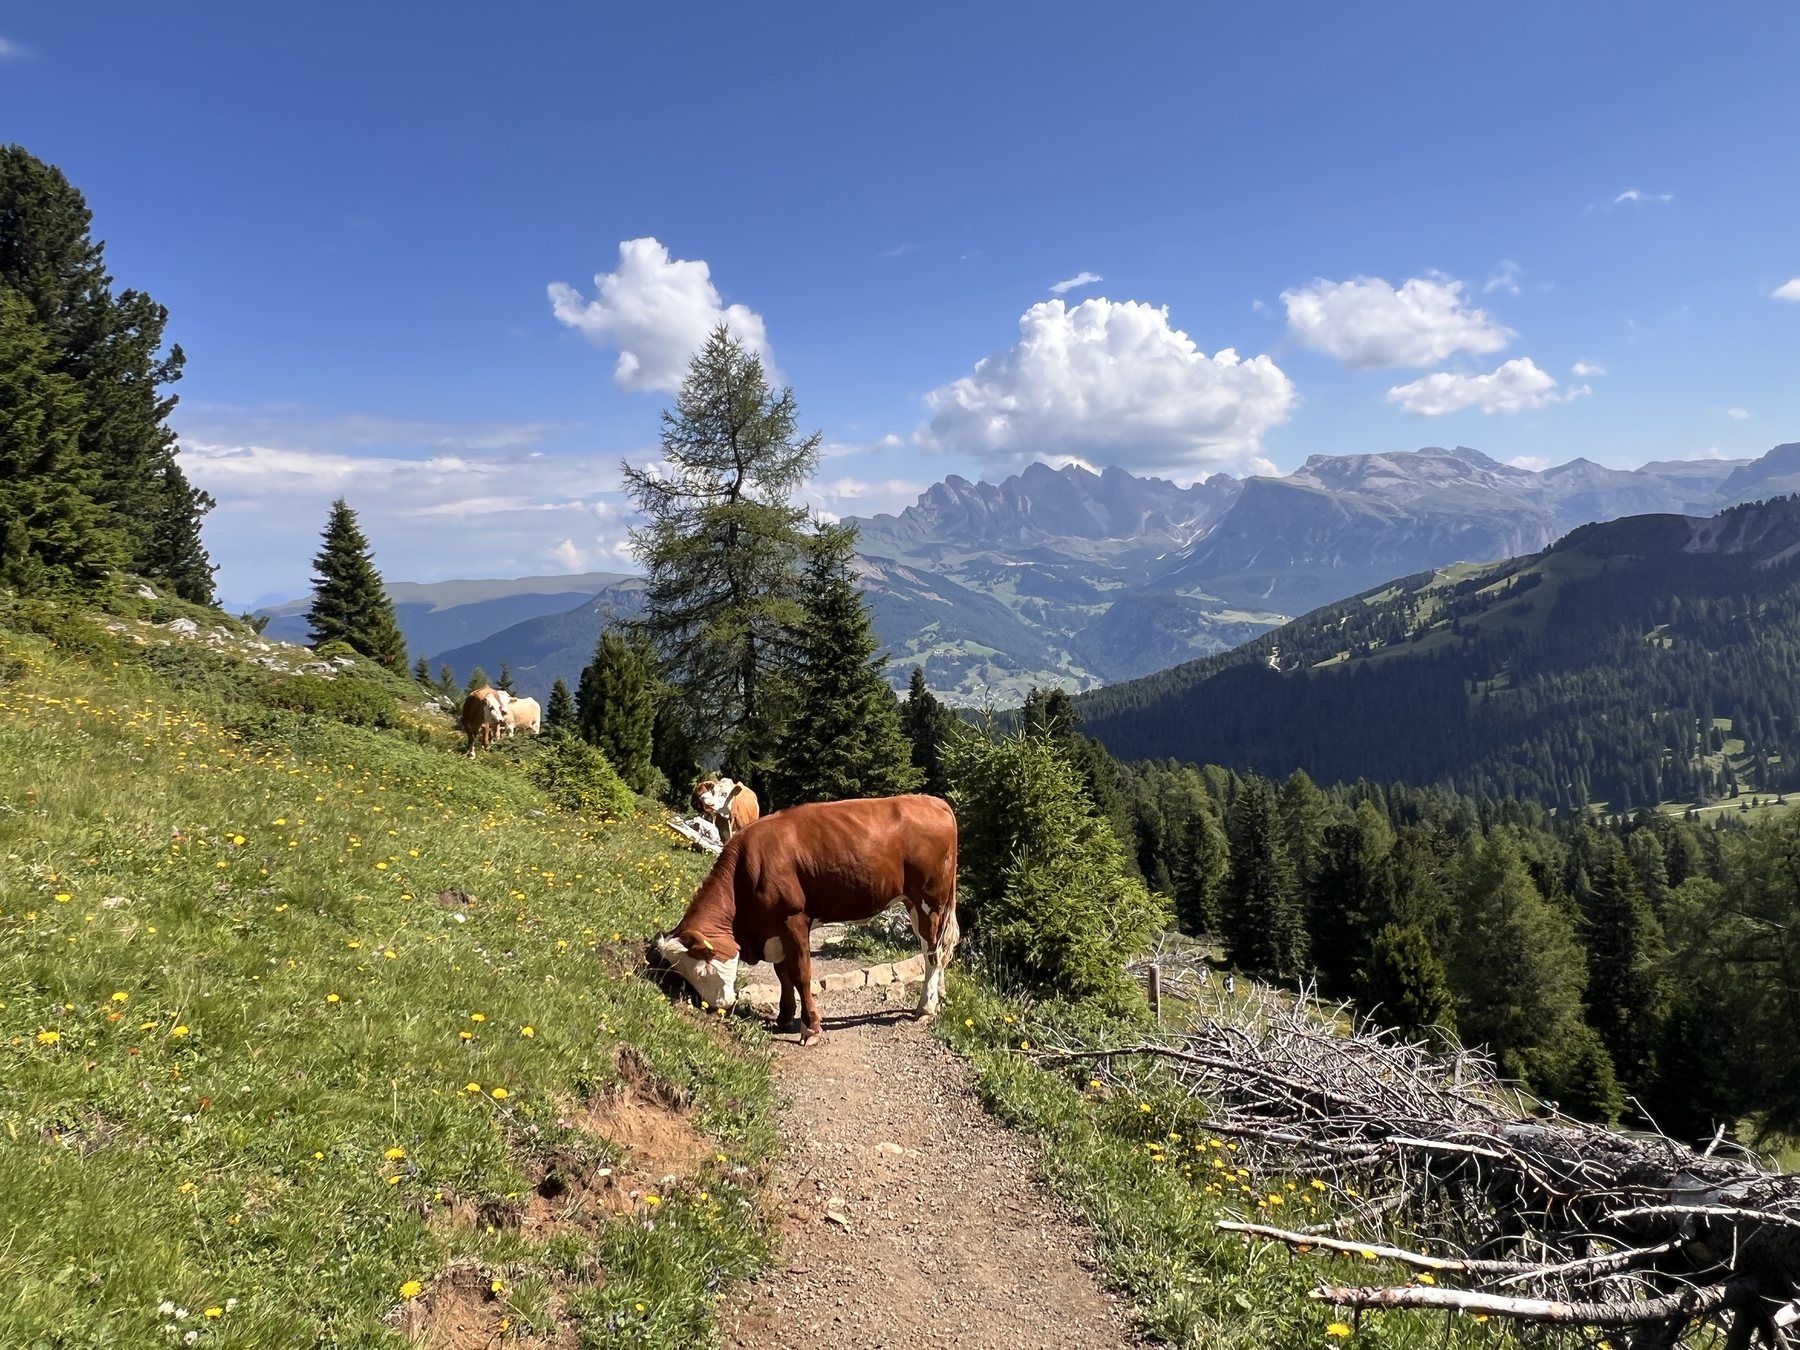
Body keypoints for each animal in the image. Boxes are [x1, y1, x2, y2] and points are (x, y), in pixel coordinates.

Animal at [651, 795, 959, 1045]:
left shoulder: (794, 919)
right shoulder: (774, 928)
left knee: (932, 952)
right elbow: (783, 973)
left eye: (701, 971)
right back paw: (939, 996)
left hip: (930, 901)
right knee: (936, 950)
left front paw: (810, 1028)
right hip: (917, 903)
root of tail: (932, 801)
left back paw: (925, 1007)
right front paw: (784, 1017)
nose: (719, 1006)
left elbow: (801, 974)